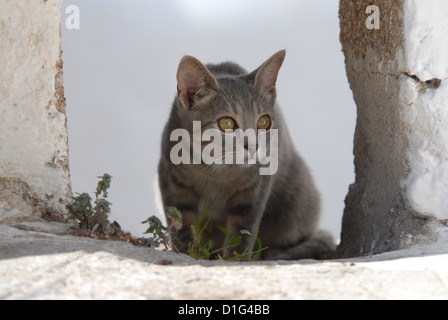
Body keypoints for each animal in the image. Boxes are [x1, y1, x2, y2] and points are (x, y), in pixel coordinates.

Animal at [159, 50, 334, 260]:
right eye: (226, 123)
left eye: (264, 122)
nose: (254, 146)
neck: (217, 171)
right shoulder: (171, 180)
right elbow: (180, 224)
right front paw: (188, 254)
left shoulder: (254, 190)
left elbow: (242, 232)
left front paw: (235, 260)